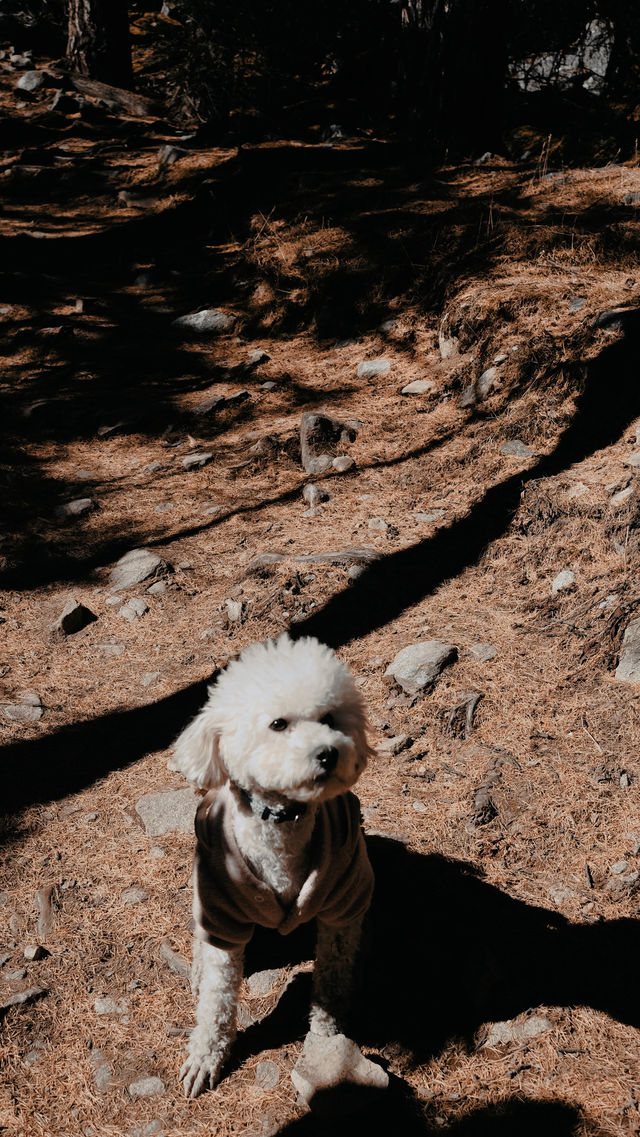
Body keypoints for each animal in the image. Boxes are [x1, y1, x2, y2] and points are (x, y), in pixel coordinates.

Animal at [175, 636, 375, 1096]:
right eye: (279, 724)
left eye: (329, 718)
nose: (329, 753)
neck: (282, 823)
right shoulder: (222, 911)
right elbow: (216, 999)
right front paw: (206, 1056)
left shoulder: (344, 902)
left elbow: (331, 978)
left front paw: (326, 1038)